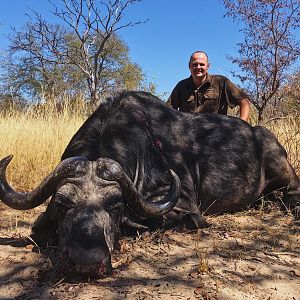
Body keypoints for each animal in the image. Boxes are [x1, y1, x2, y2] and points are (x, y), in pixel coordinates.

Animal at [0, 90, 300, 278]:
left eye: (115, 205)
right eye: (63, 203)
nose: (86, 263)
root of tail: (259, 134)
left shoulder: (185, 207)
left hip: (282, 169)